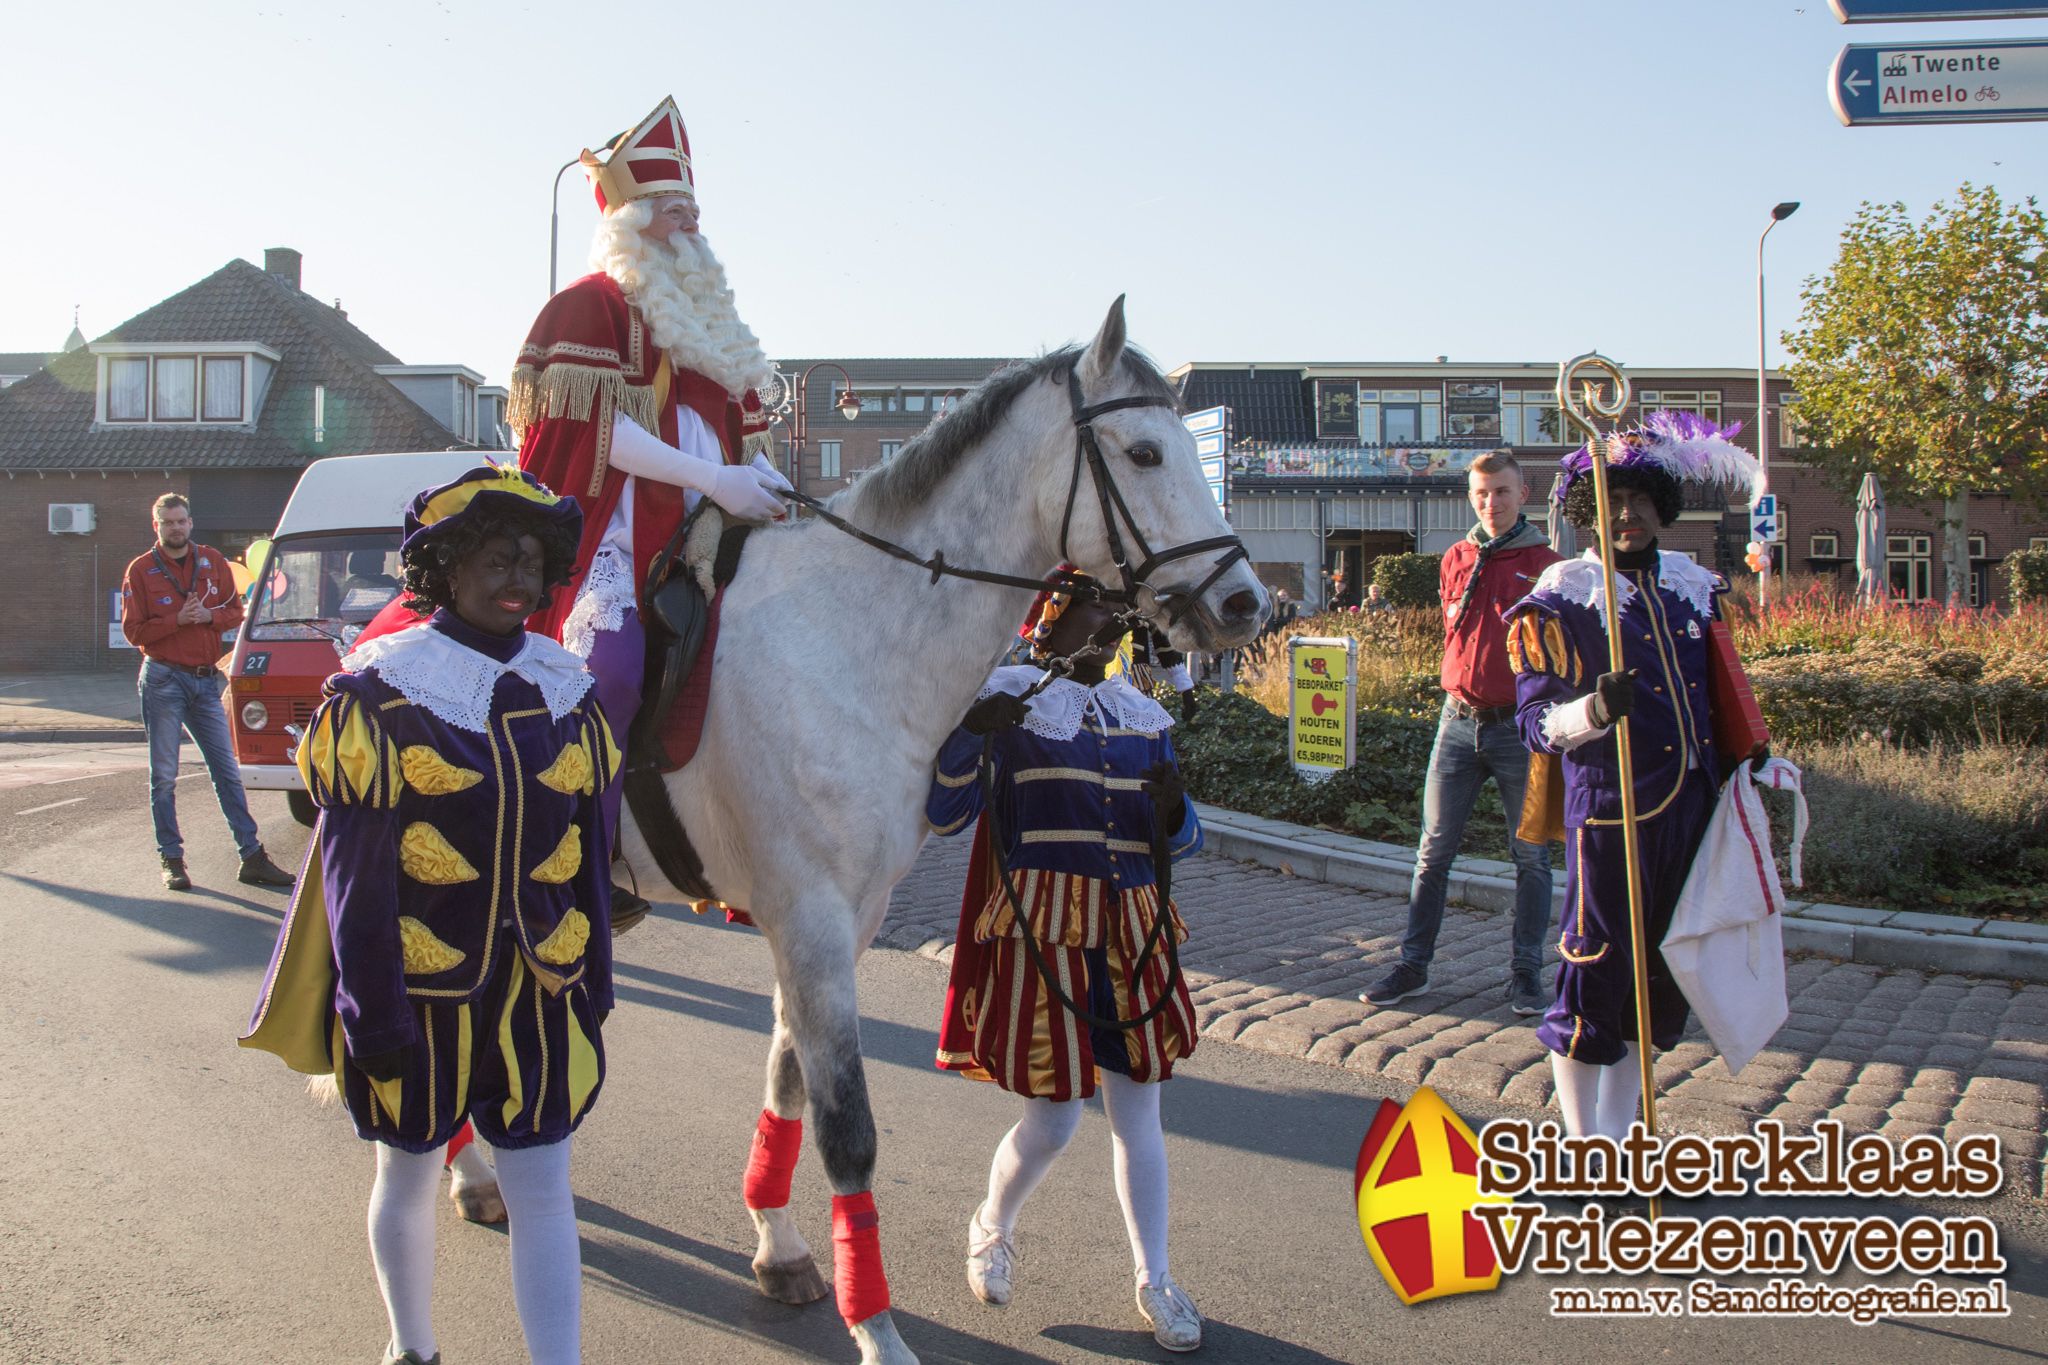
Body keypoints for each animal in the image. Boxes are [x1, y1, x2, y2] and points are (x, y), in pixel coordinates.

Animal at [618, 300, 1261, 1365]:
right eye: (1142, 451)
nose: (1247, 601)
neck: (849, 635)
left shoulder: (845, 920)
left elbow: (790, 1080)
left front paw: (781, 1246)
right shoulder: (810, 918)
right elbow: (847, 1126)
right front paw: (875, 1324)